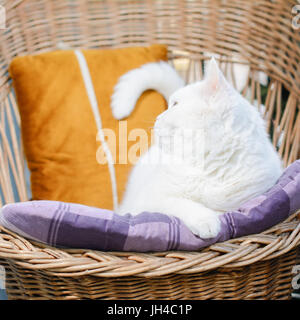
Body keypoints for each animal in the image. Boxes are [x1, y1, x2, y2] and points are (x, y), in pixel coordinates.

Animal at [113, 57, 282, 238]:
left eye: (175, 104)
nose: (157, 118)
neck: (207, 166)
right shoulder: (146, 201)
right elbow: (182, 203)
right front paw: (206, 221)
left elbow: (220, 210)